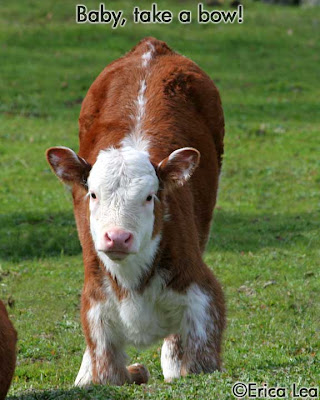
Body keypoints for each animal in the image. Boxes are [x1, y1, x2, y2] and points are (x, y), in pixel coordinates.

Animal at [46, 38, 226, 388]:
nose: (117, 237)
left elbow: (193, 363)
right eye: (93, 194)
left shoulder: (203, 296)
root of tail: (151, 47)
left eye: (149, 197)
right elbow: (106, 371)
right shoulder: (95, 304)